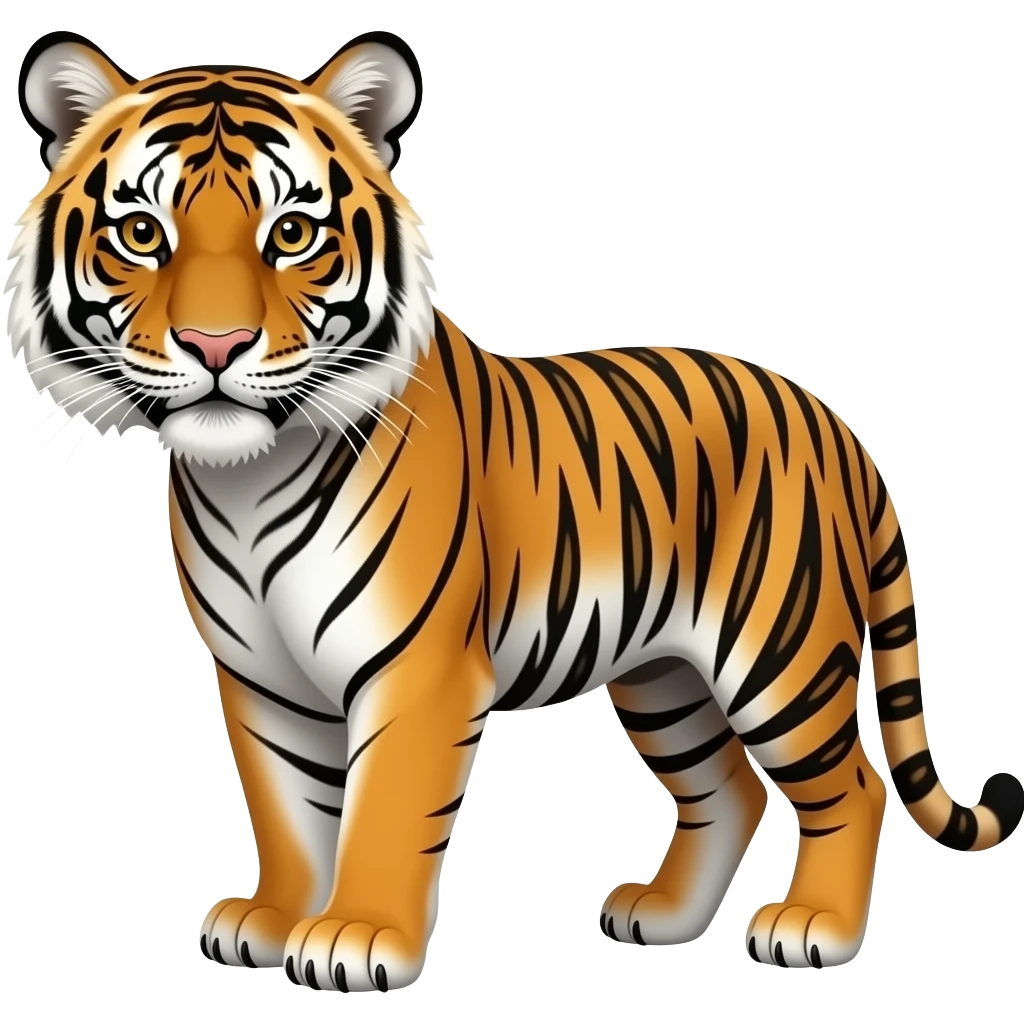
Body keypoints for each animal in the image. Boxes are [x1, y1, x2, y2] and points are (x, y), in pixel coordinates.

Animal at [7, 27, 1022, 993]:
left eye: (291, 233)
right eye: (142, 233)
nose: (214, 344)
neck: (246, 481)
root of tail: (832, 419)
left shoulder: (416, 671)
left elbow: (383, 808)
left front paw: (355, 937)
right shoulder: (262, 681)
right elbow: (287, 807)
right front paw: (274, 917)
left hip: (779, 652)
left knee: (851, 783)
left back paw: (815, 929)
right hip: (664, 673)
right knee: (727, 786)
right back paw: (663, 917)